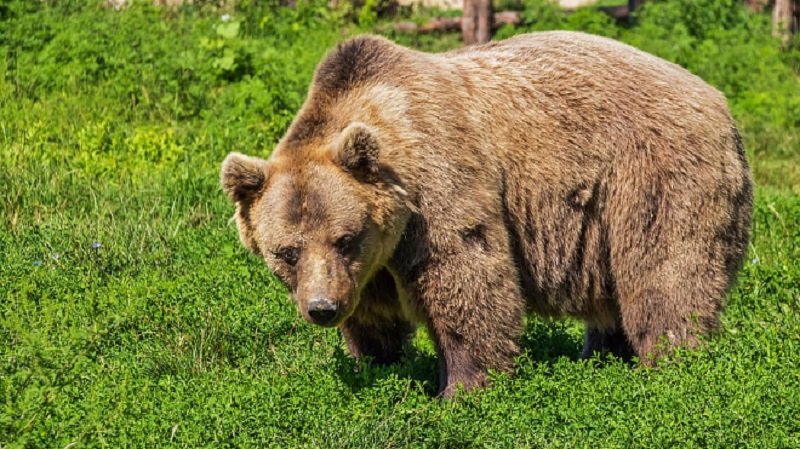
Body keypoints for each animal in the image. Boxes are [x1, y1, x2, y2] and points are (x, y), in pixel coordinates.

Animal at [220, 31, 753, 397]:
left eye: (344, 238)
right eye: (286, 251)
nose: (322, 308)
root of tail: (719, 101)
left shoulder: (437, 187)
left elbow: (467, 277)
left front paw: (461, 388)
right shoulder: (370, 264)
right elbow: (374, 315)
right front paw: (378, 364)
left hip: (653, 177)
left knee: (665, 274)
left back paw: (670, 364)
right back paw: (601, 356)